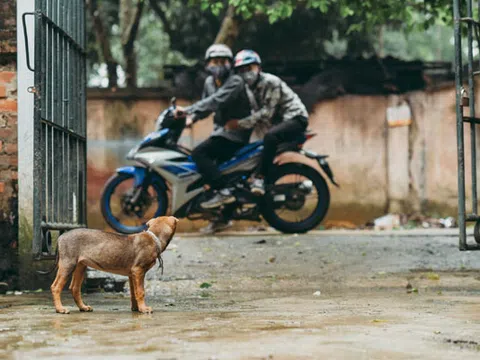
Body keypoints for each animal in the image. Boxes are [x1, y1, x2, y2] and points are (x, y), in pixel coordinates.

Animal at [48, 215, 178, 314]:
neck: (154, 238)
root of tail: (60, 237)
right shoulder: (139, 270)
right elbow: (140, 291)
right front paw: (144, 309)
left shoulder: (132, 274)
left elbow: (134, 293)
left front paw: (136, 308)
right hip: (68, 264)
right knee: (55, 287)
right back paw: (60, 309)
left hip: (80, 266)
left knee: (74, 288)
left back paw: (83, 307)